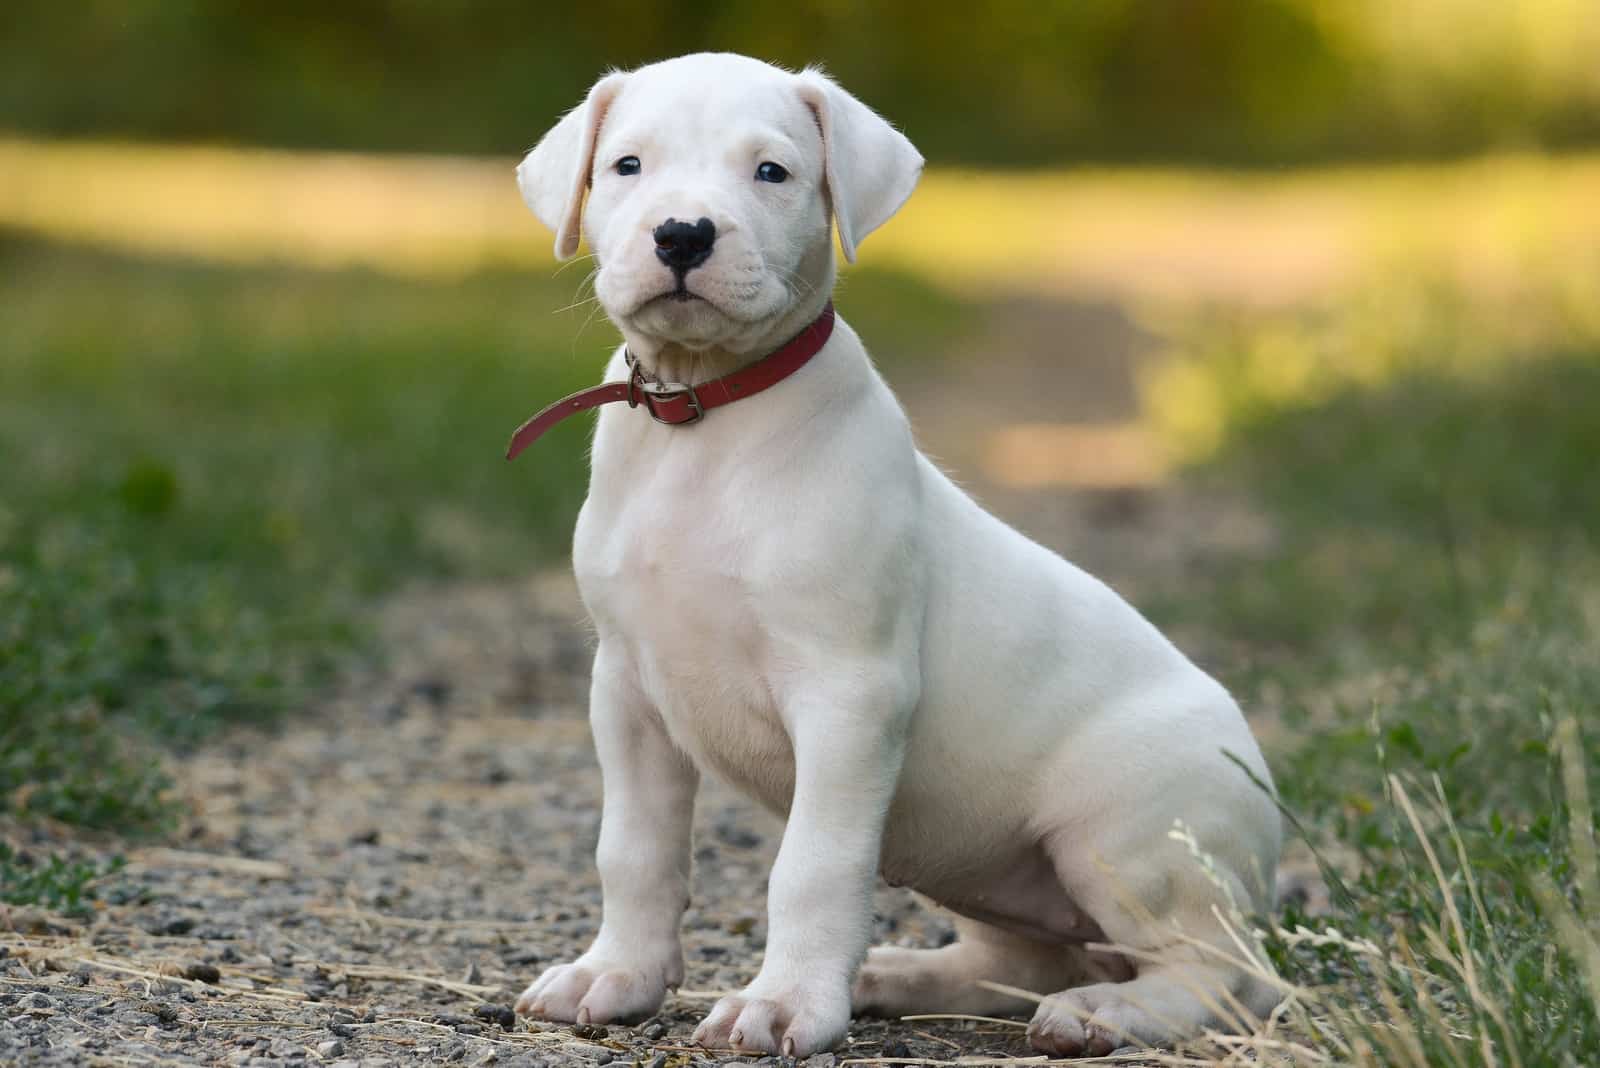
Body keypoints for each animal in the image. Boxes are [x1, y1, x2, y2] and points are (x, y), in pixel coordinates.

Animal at [505, 54, 1280, 1055]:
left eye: (772, 172)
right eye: (628, 165)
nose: (681, 234)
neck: (703, 420)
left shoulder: (850, 696)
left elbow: (814, 865)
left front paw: (784, 1002)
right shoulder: (629, 692)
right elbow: (632, 851)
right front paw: (615, 975)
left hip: (1127, 836)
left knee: (1222, 975)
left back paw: (1107, 1012)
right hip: (987, 861)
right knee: (1023, 958)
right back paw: (898, 975)